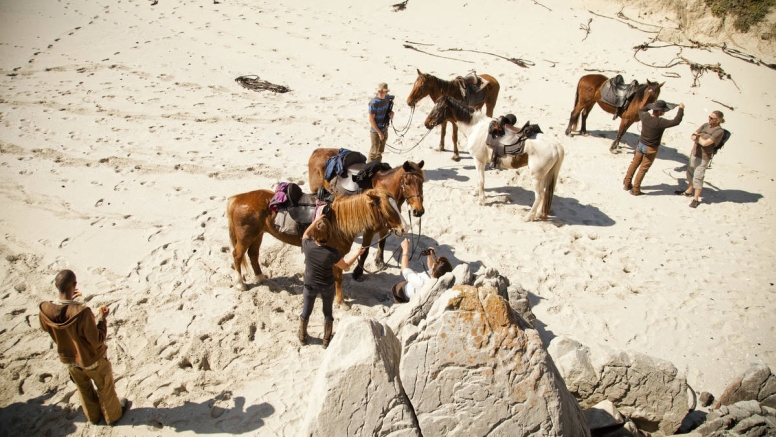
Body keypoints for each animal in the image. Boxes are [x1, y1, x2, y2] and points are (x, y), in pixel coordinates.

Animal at [227, 187, 410, 306]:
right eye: (389, 208)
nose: (404, 229)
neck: (338, 220)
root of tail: (237, 198)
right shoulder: (337, 256)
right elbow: (339, 279)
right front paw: (341, 302)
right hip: (245, 237)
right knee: (237, 255)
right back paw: (240, 283)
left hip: (257, 235)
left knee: (253, 255)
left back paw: (259, 277)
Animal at [308, 149, 428, 280]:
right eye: (407, 183)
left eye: (422, 182)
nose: (419, 211)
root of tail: (318, 151)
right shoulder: (369, 231)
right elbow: (365, 251)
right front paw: (358, 272)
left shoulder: (386, 227)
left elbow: (381, 243)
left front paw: (379, 261)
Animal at [424, 94, 564, 220]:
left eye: (439, 108)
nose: (426, 123)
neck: (475, 127)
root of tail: (556, 146)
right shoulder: (480, 162)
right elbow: (479, 178)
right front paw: (476, 192)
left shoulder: (479, 160)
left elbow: (481, 180)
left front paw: (481, 200)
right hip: (545, 175)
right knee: (545, 193)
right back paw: (539, 214)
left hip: (536, 177)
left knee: (539, 195)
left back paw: (529, 216)